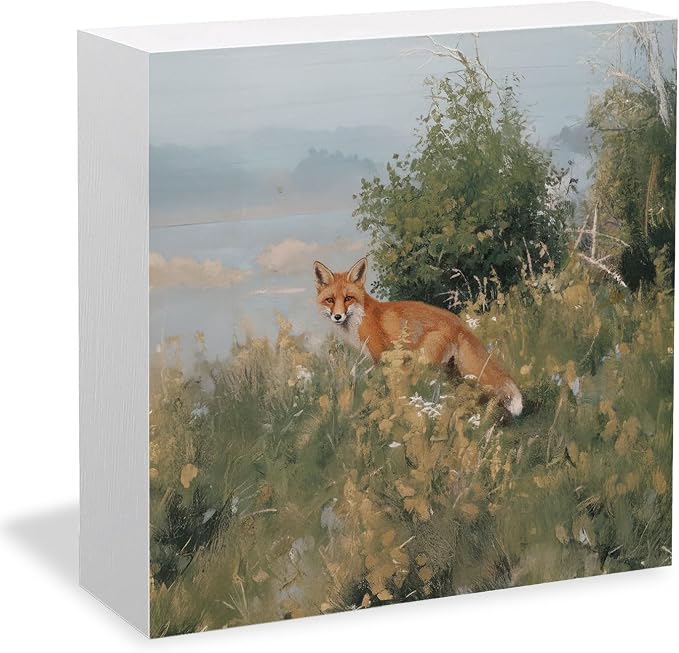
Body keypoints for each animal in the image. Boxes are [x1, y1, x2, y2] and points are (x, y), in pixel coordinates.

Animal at [313, 256, 522, 416]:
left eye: (348, 298)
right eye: (330, 300)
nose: (337, 316)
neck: (359, 318)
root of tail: (459, 322)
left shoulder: (381, 356)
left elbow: (381, 383)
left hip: (426, 361)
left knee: (434, 384)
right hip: (449, 368)